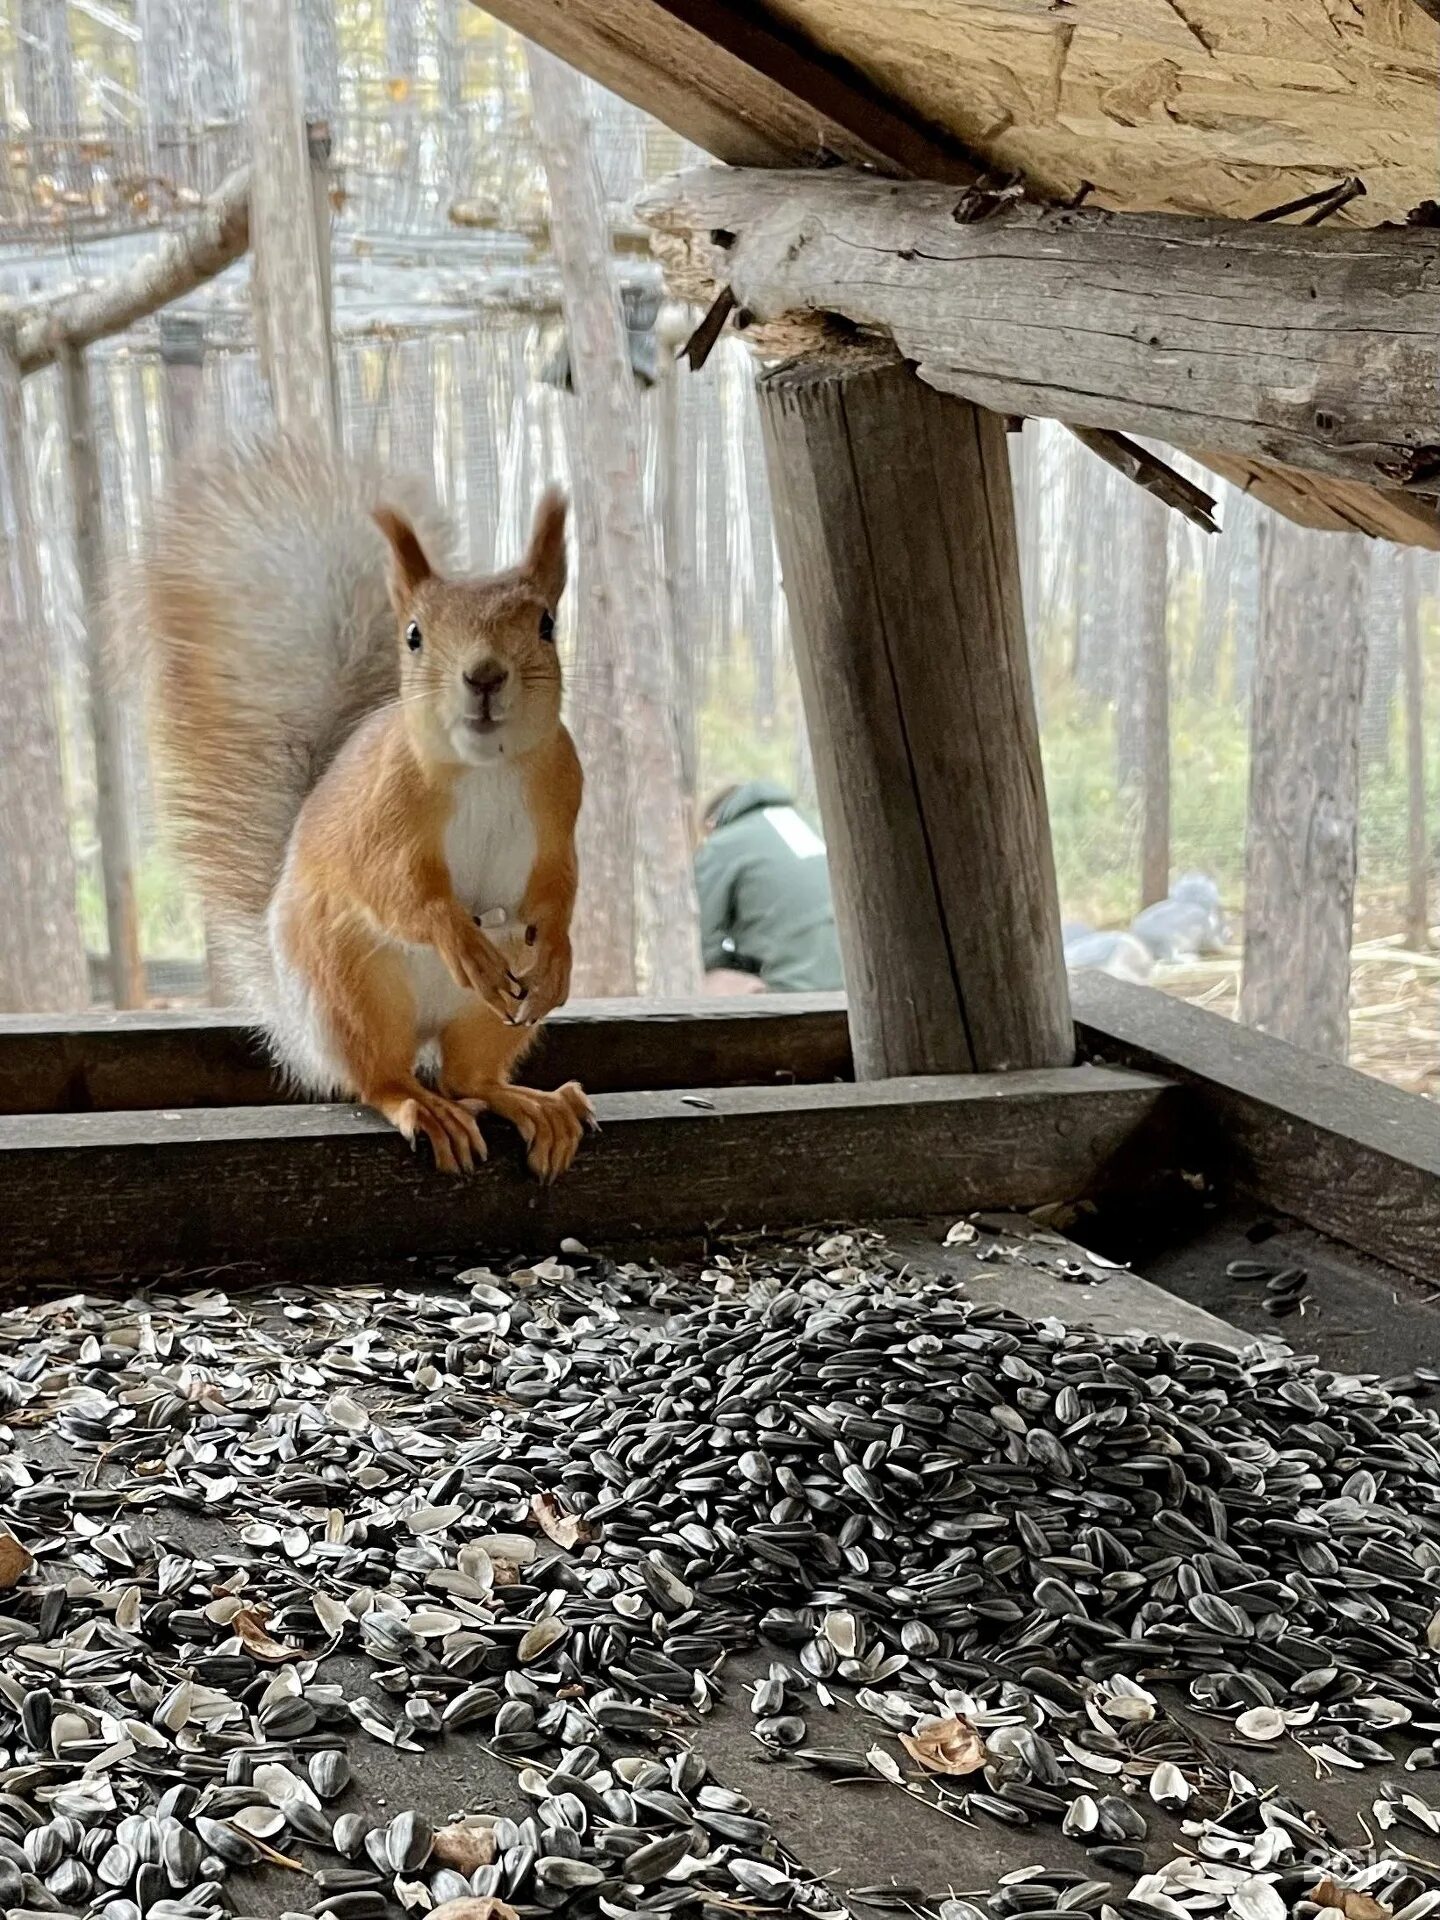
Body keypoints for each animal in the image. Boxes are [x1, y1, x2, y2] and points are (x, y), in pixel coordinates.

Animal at [125, 441, 591, 1175]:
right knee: (382, 1077)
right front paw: (458, 937)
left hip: (488, 1014)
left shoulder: (560, 801)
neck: (486, 770)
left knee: (469, 1075)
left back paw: (532, 1103)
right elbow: (393, 888)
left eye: (545, 625)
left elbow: (558, 887)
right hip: (356, 988)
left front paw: (560, 956)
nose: (484, 676)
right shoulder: (381, 810)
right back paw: (422, 1105)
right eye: (414, 635)